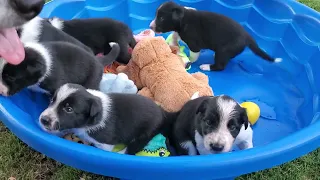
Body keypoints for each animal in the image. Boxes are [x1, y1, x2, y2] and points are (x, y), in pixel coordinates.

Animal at [40, 83, 176, 155]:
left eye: (69, 109)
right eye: (52, 100)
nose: (43, 120)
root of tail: (162, 112)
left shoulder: (106, 144)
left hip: (145, 134)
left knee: (131, 148)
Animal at [149, 1, 282, 71]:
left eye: (161, 18)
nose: (150, 27)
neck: (183, 18)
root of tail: (247, 36)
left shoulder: (194, 45)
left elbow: (193, 56)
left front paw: (188, 60)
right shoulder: (177, 32)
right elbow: (175, 36)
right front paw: (174, 44)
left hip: (224, 50)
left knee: (220, 66)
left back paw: (206, 66)